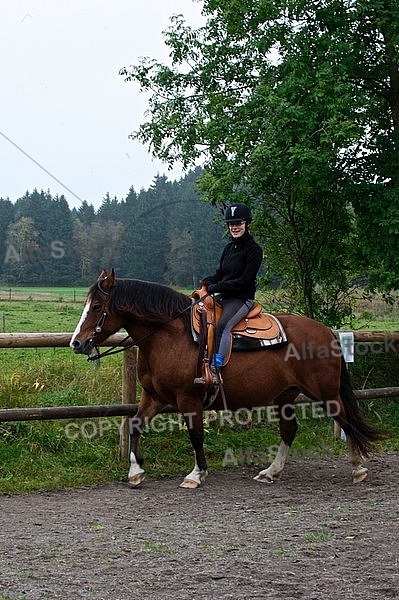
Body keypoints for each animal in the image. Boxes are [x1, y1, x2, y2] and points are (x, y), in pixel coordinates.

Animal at [70, 270, 382, 490]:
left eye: (97, 306)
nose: (77, 343)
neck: (169, 336)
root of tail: (327, 332)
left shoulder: (188, 399)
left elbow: (196, 434)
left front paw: (196, 474)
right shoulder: (154, 396)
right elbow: (135, 425)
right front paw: (135, 472)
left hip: (324, 392)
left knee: (345, 420)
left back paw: (358, 468)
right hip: (286, 395)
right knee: (290, 430)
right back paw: (271, 472)